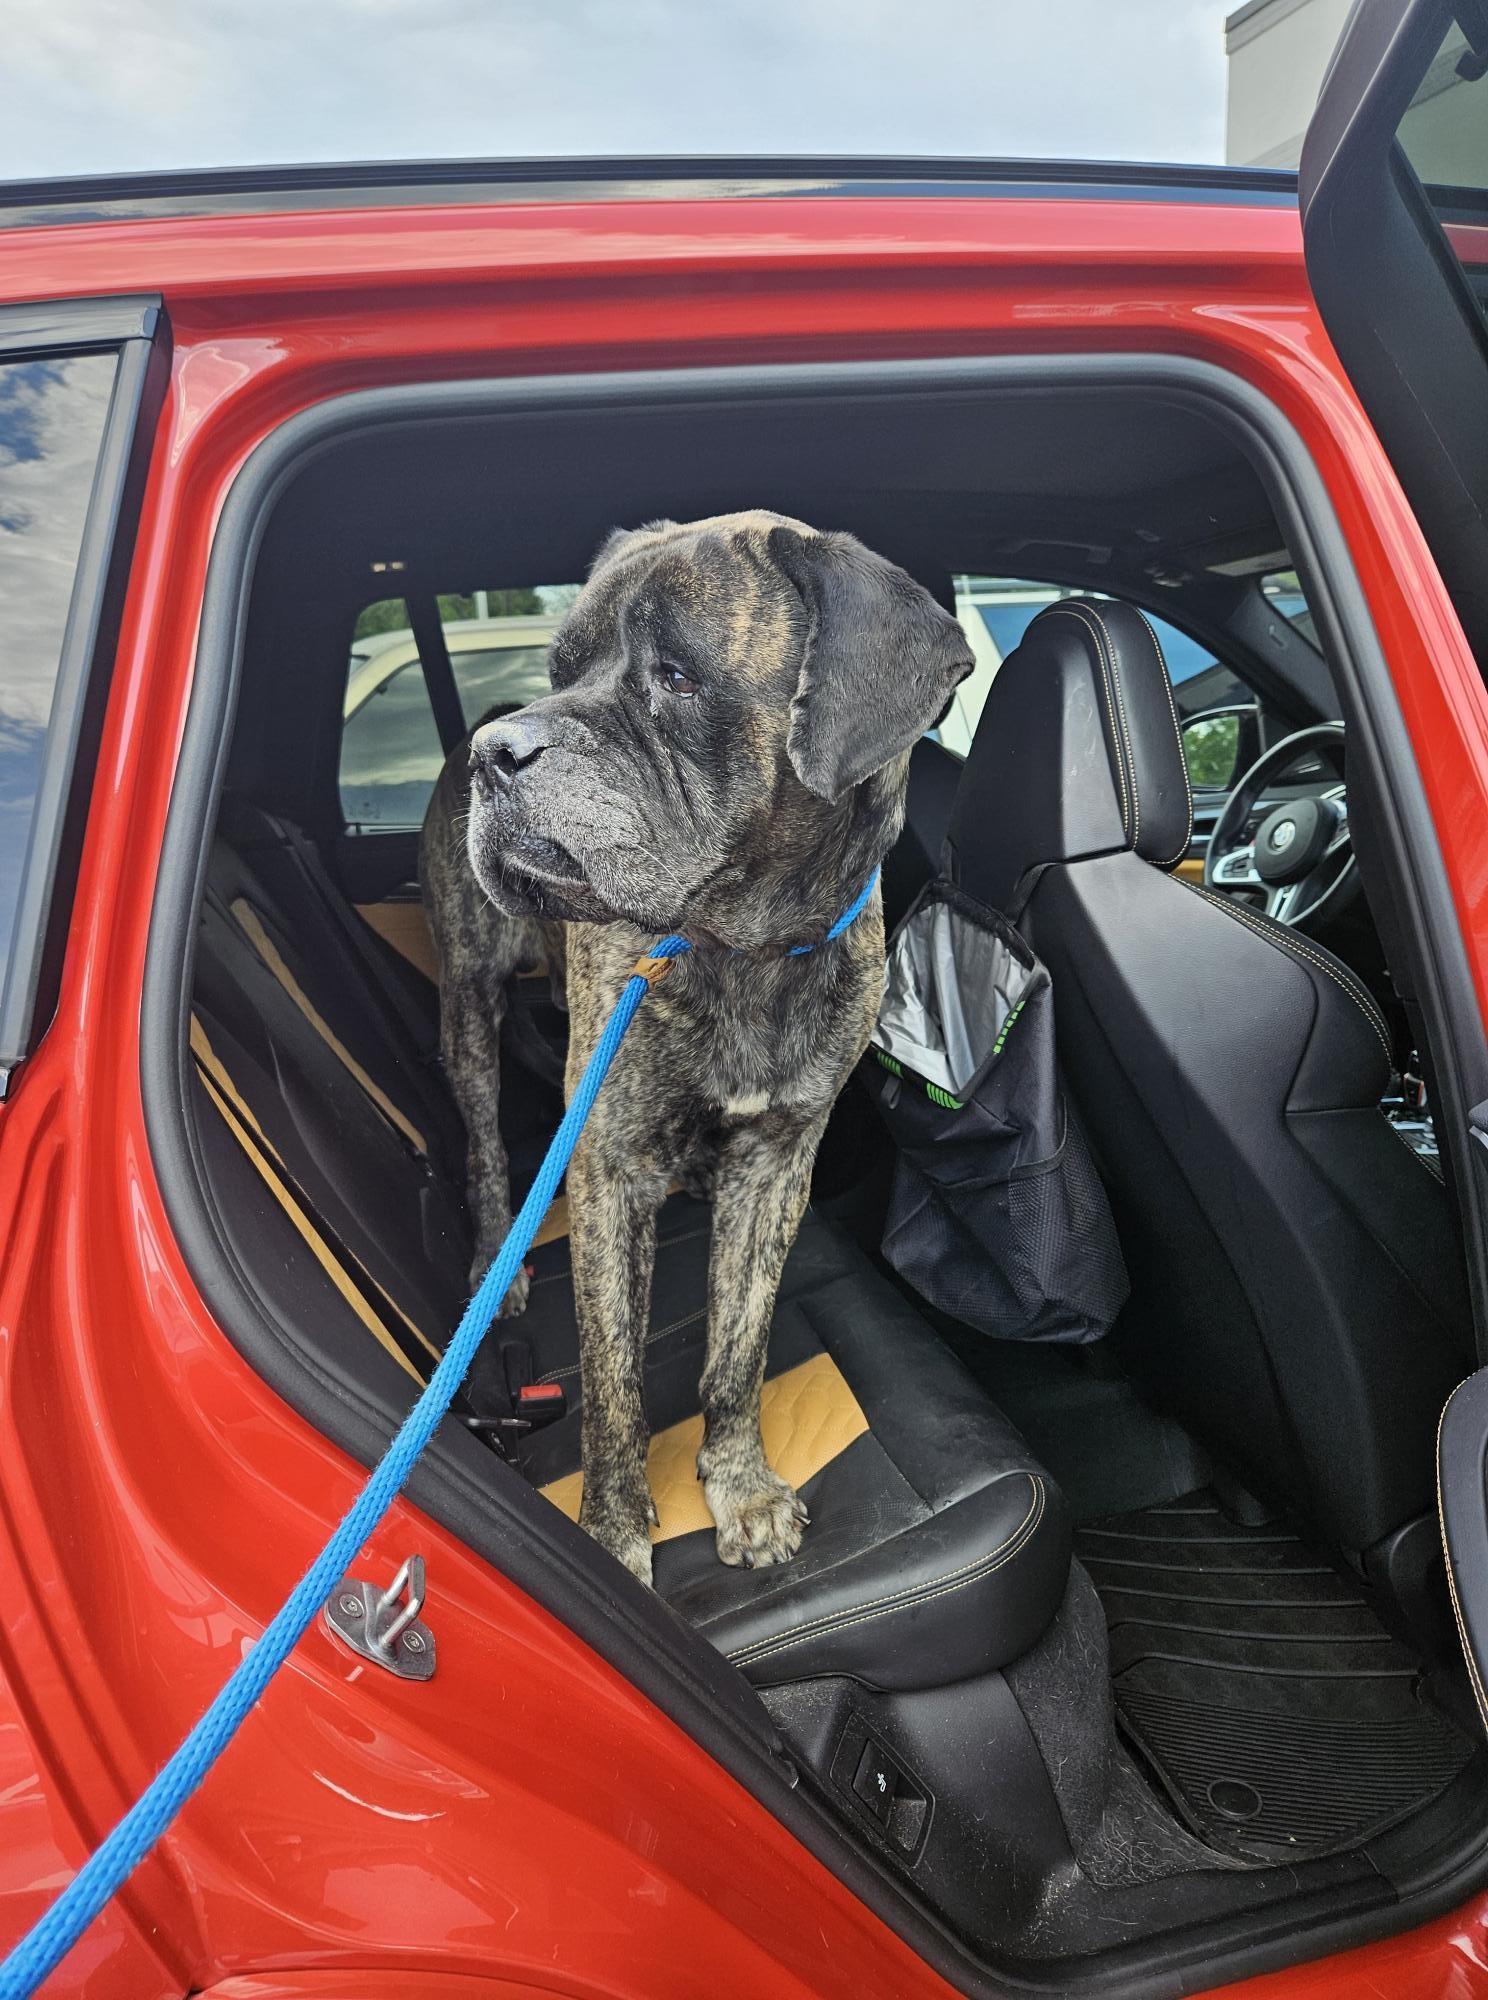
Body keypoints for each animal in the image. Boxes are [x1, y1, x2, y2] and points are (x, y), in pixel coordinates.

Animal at [422, 508, 976, 1584]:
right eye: (563, 666)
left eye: (676, 676)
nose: (494, 751)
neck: (745, 949)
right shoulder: (608, 1165)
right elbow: (613, 1383)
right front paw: (611, 1534)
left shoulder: (779, 1161)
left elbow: (739, 1347)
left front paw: (741, 1482)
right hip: (469, 1004)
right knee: (483, 1146)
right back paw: (496, 1256)